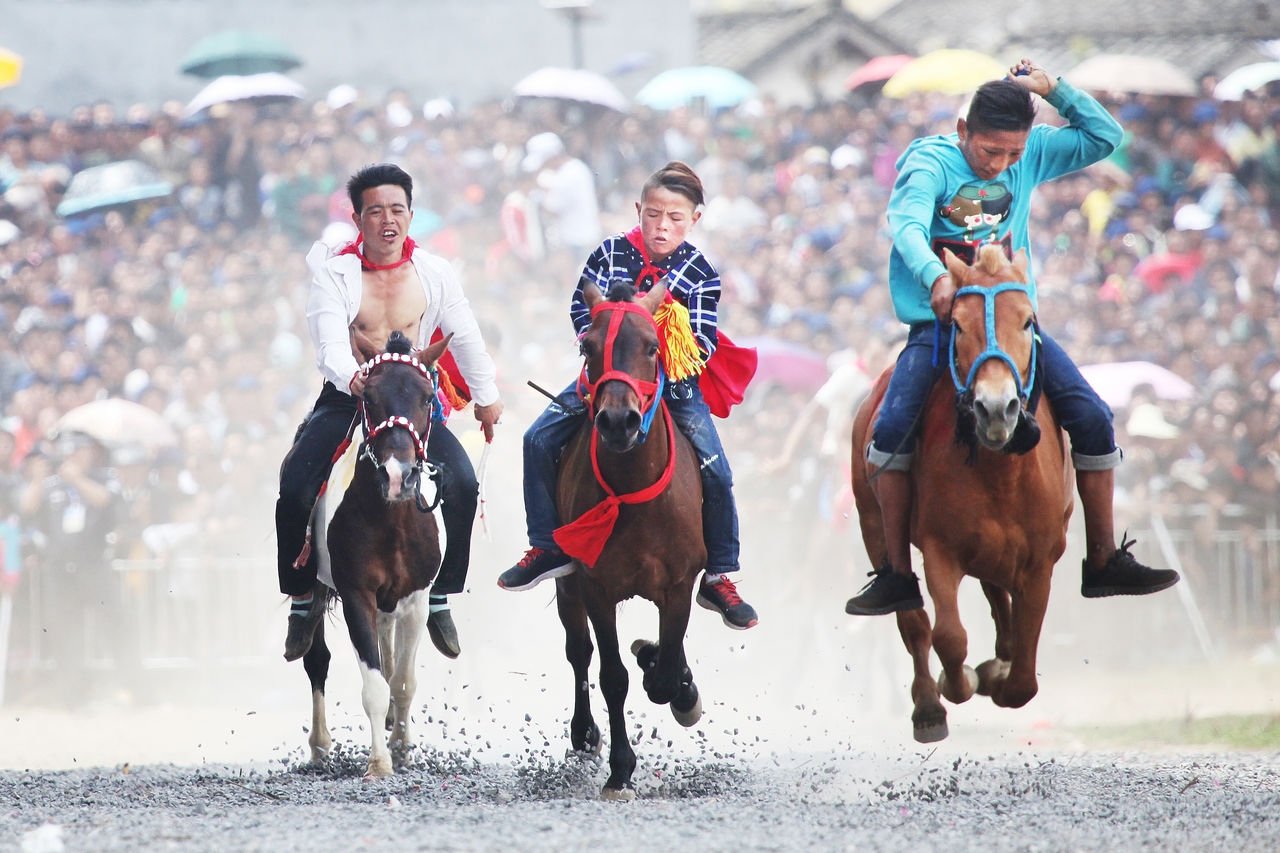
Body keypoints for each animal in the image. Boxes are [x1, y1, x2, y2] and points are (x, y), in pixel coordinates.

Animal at [300, 326, 455, 778]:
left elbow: (401, 682)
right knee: (316, 657)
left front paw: (402, 747)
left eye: (427, 397)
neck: (392, 520)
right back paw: (319, 745)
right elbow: (373, 684)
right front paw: (380, 762)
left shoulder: (417, 597)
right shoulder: (357, 595)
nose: (397, 475)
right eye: (368, 397)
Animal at [555, 279, 706, 799]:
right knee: (578, 651)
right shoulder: (595, 585)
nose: (618, 422)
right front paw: (620, 770)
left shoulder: (680, 584)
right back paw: (584, 734)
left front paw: (679, 684)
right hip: (566, 584)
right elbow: (612, 676)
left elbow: (666, 674)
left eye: (651, 346)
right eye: (587, 346)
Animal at [855, 242, 1075, 742]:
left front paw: (1001, 674)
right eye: (956, 323)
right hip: (874, 524)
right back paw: (927, 706)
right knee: (913, 618)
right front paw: (958, 684)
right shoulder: (941, 549)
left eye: (1027, 321)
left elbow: (1026, 665)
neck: (1000, 473)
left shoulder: (1040, 559)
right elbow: (948, 637)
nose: (996, 408)